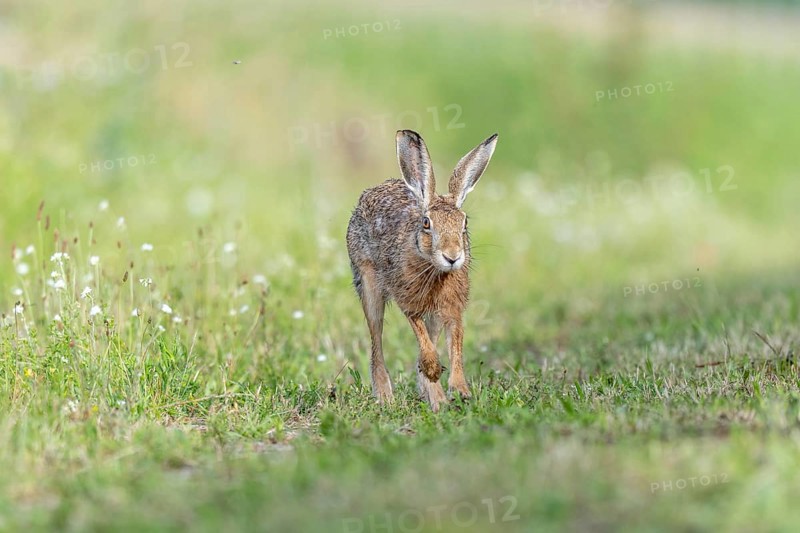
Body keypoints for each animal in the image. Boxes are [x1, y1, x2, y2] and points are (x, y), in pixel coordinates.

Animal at [346, 129, 498, 412]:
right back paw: (386, 397)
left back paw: (436, 399)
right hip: (368, 285)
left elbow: (455, 343)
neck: (434, 269)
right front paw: (433, 370)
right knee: (376, 338)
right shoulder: (409, 301)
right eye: (427, 223)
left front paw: (459, 389)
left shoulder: (451, 307)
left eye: (464, 223)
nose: (453, 257)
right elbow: (422, 339)